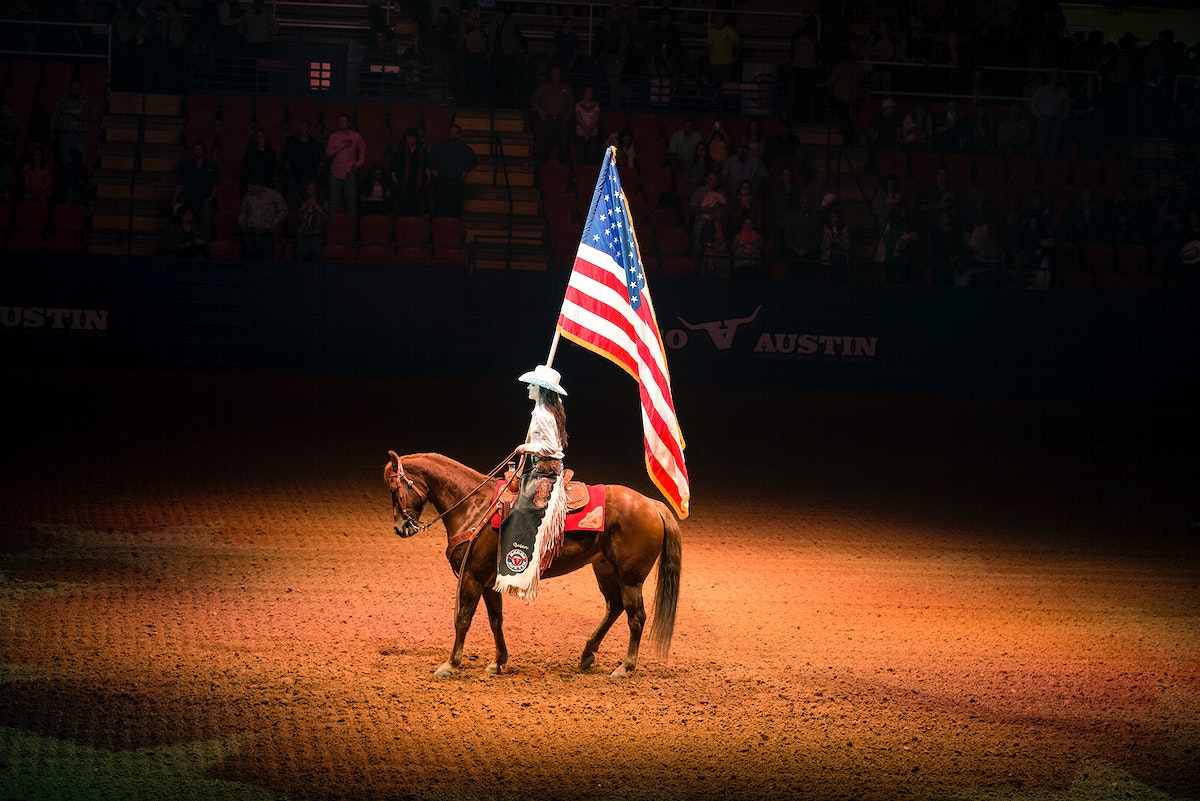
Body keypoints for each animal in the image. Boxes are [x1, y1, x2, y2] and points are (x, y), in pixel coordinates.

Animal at [386, 450, 681, 676]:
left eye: (394, 489)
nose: (401, 528)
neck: (475, 505)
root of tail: (651, 504)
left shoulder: (472, 576)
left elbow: (463, 619)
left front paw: (450, 664)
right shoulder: (489, 580)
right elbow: (496, 619)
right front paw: (498, 662)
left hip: (631, 577)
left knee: (636, 617)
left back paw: (625, 667)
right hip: (605, 569)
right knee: (615, 606)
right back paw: (587, 654)